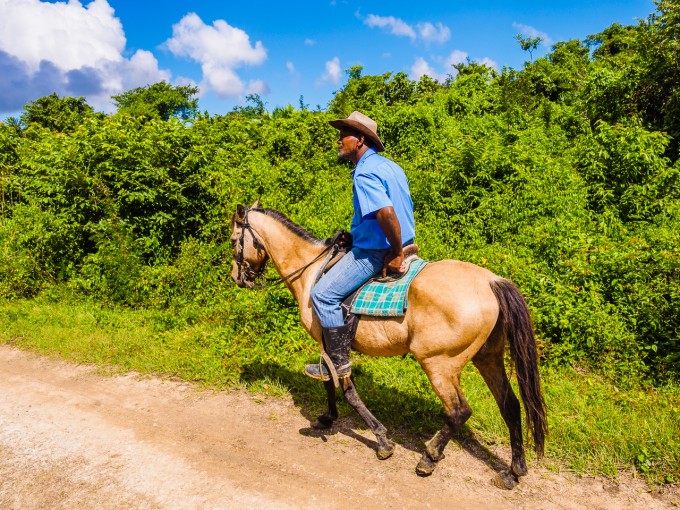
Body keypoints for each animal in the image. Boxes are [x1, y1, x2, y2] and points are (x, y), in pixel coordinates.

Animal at [228, 203, 548, 486]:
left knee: (459, 412)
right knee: (511, 406)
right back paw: (513, 472)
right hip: (488, 358)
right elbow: (331, 384)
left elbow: (345, 390)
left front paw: (381, 440)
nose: (237, 278)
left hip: (439, 364)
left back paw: (429, 457)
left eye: (233, 240)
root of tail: (492, 281)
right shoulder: (329, 347)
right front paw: (329, 418)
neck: (312, 271)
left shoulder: (330, 343)